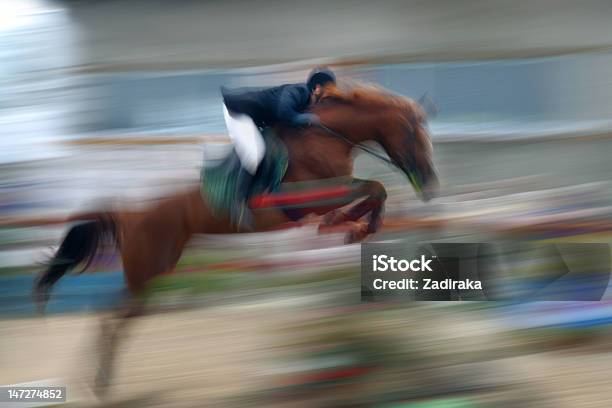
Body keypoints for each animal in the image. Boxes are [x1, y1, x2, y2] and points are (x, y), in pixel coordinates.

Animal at [33, 82, 438, 396]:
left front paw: (354, 226)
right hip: (147, 271)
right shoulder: (310, 196)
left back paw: (96, 380)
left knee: (115, 316)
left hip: (155, 272)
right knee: (110, 317)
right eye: (415, 137)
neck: (325, 135)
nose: (431, 187)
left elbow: (375, 191)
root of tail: (127, 213)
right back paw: (99, 384)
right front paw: (344, 223)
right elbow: (374, 187)